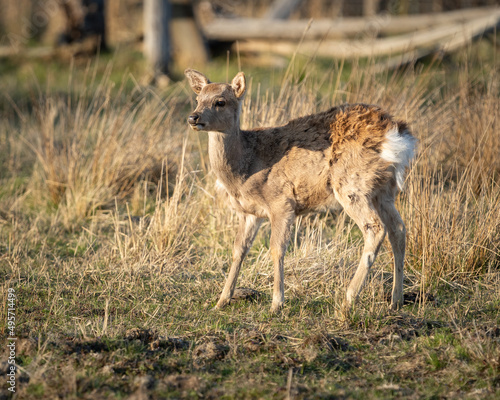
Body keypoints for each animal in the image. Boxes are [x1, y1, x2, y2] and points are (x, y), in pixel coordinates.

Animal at [186, 68, 416, 312]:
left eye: (220, 101)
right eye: (198, 99)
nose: (193, 117)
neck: (245, 168)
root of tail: (397, 135)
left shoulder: (282, 203)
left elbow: (276, 249)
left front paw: (276, 304)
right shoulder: (249, 212)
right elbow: (238, 250)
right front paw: (221, 301)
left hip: (352, 184)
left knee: (375, 228)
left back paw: (349, 297)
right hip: (384, 190)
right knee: (398, 229)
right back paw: (396, 299)